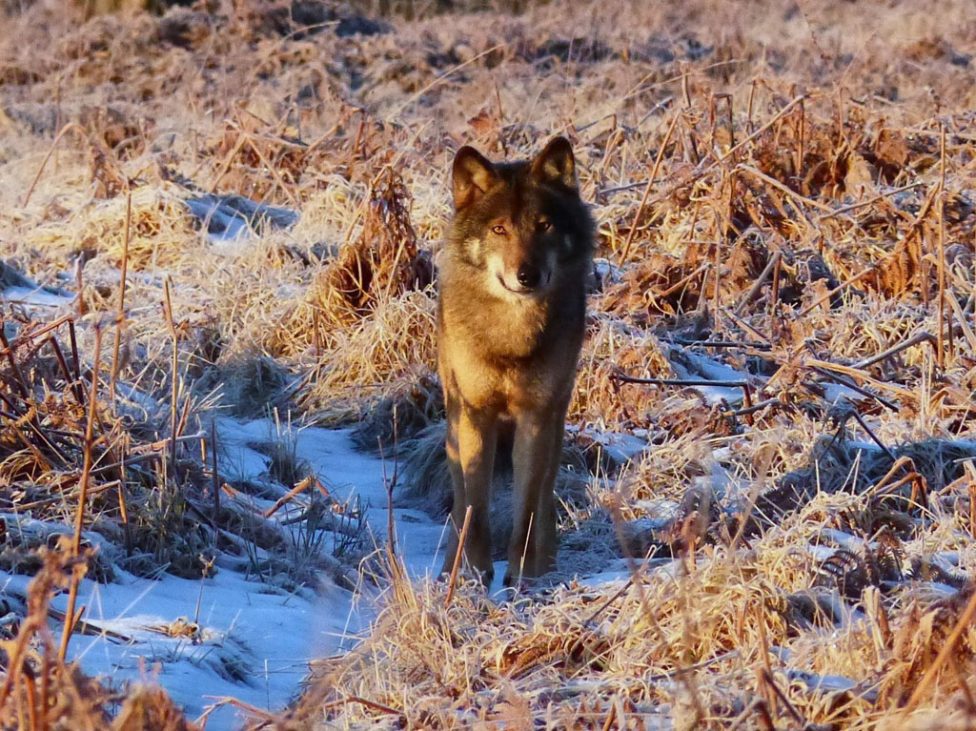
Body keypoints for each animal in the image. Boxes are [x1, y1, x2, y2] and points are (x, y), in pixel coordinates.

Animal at [437, 136, 594, 587]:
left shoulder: (536, 416)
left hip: (556, 420)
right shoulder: (476, 414)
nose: (527, 275)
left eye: (544, 226)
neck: (511, 336)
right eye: (499, 229)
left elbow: (525, 509)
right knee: (459, 496)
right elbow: (476, 507)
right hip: (454, 418)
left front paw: (521, 576)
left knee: (544, 495)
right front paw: (474, 574)